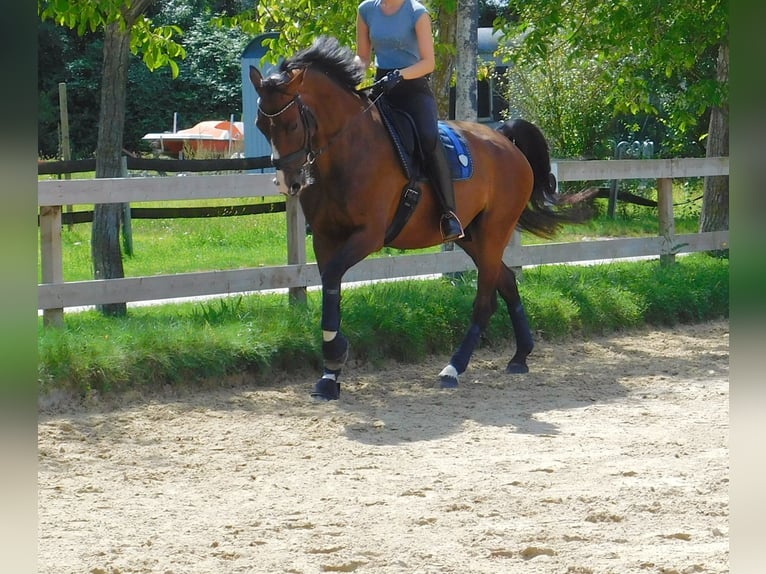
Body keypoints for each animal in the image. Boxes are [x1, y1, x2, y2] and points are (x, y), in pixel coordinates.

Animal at [249, 36, 584, 402]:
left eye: (292, 124)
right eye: (261, 126)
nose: (288, 183)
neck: (347, 150)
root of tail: (505, 141)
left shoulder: (368, 235)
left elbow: (334, 277)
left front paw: (336, 353)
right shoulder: (325, 237)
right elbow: (329, 284)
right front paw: (329, 375)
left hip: (495, 231)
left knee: (485, 300)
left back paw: (454, 368)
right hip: (472, 237)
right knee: (507, 281)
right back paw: (521, 355)